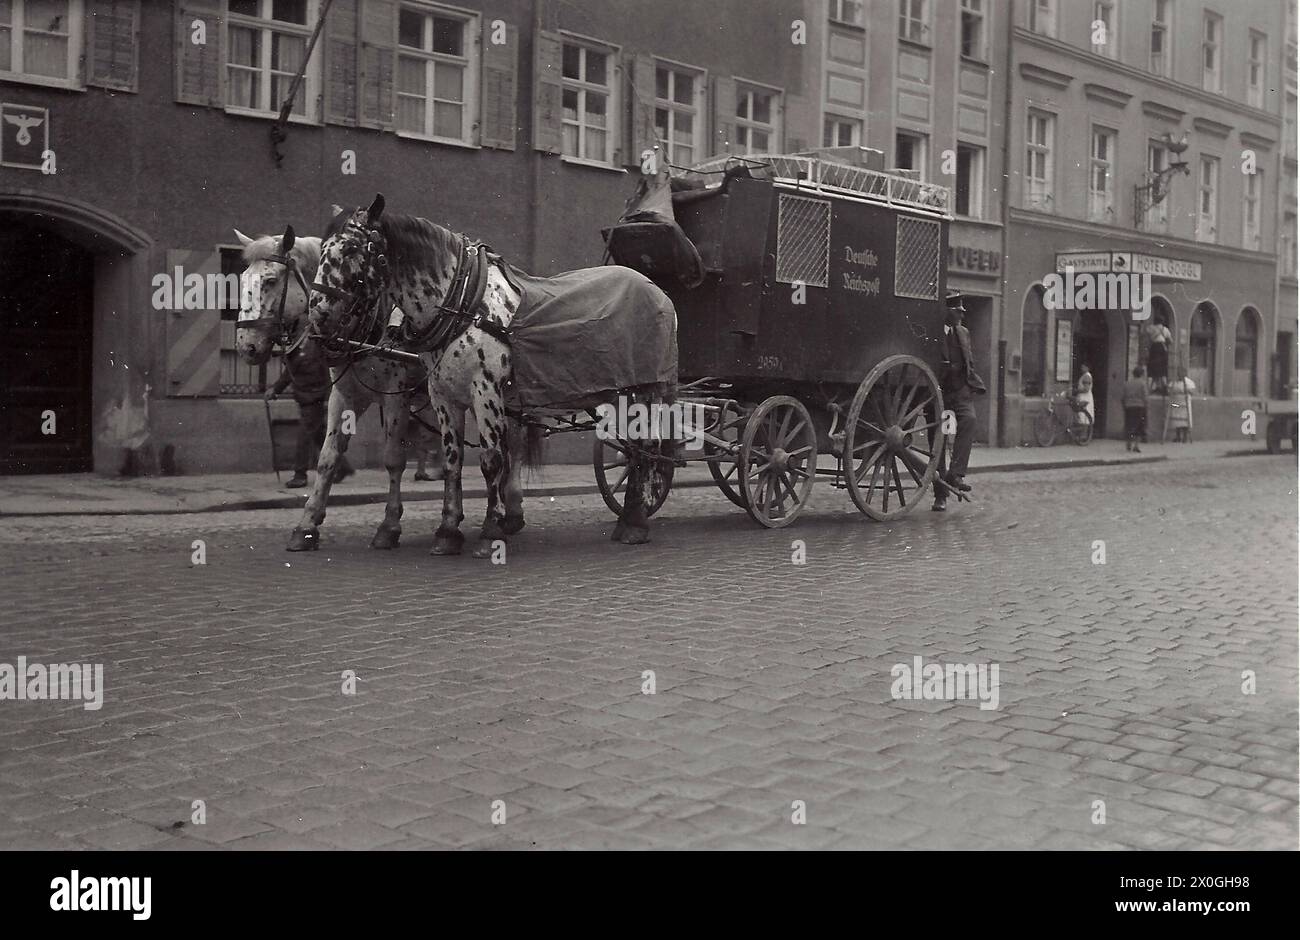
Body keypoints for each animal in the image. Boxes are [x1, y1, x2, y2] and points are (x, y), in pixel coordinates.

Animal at [237, 224, 447, 551]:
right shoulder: (346, 394)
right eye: (242, 278)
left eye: (271, 280)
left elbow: (393, 459)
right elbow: (328, 457)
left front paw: (389, 525)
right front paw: (307, 524)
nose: (246, 346)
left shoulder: (395, 396)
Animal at [309, 193, 676, 556]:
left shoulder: (479, 391)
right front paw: (448, 530)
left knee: (645, 446)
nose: (318, 314)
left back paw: (635, 520)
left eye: (351, 249)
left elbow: (490, 459)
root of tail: (655, 288)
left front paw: (487, 531)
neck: (464, 305)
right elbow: (452, 460)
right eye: (322, 247)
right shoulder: (441, 396)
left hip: (645, 387)